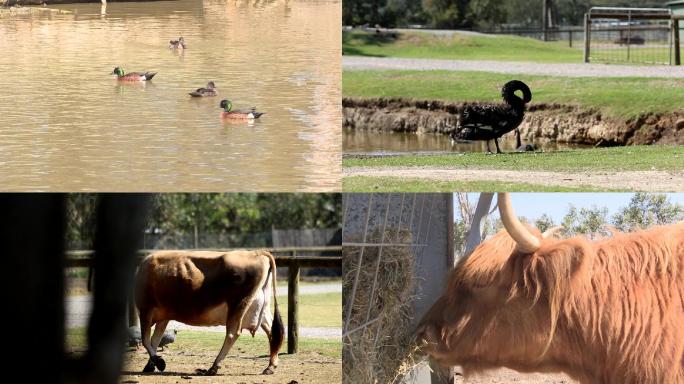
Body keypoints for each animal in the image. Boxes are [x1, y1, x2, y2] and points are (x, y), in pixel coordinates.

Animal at [135, 249, 284, 376]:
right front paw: (150, 365)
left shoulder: (145, 310)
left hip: (238, 304)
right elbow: (155, 340)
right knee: (273, 333)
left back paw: (214, 367)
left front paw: (159, 362)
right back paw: (270, 366)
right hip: (259, 309)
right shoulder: (163, 317)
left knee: (232, 333)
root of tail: (257, 253)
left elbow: (146, 340)